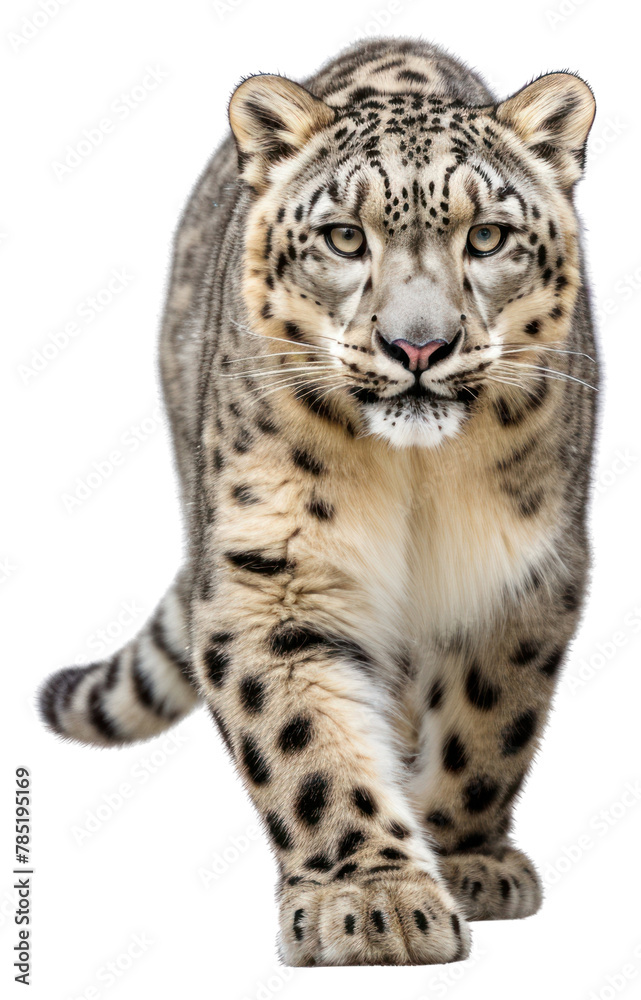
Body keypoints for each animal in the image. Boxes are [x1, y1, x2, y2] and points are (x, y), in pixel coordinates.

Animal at [39, 37, 598, 967]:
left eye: (486, 236)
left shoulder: (521, 567)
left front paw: (462, 860)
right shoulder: (271, 567)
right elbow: (306, 742)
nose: (418, 346)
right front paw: (371, 903)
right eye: (343, 236)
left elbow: (488, 719)